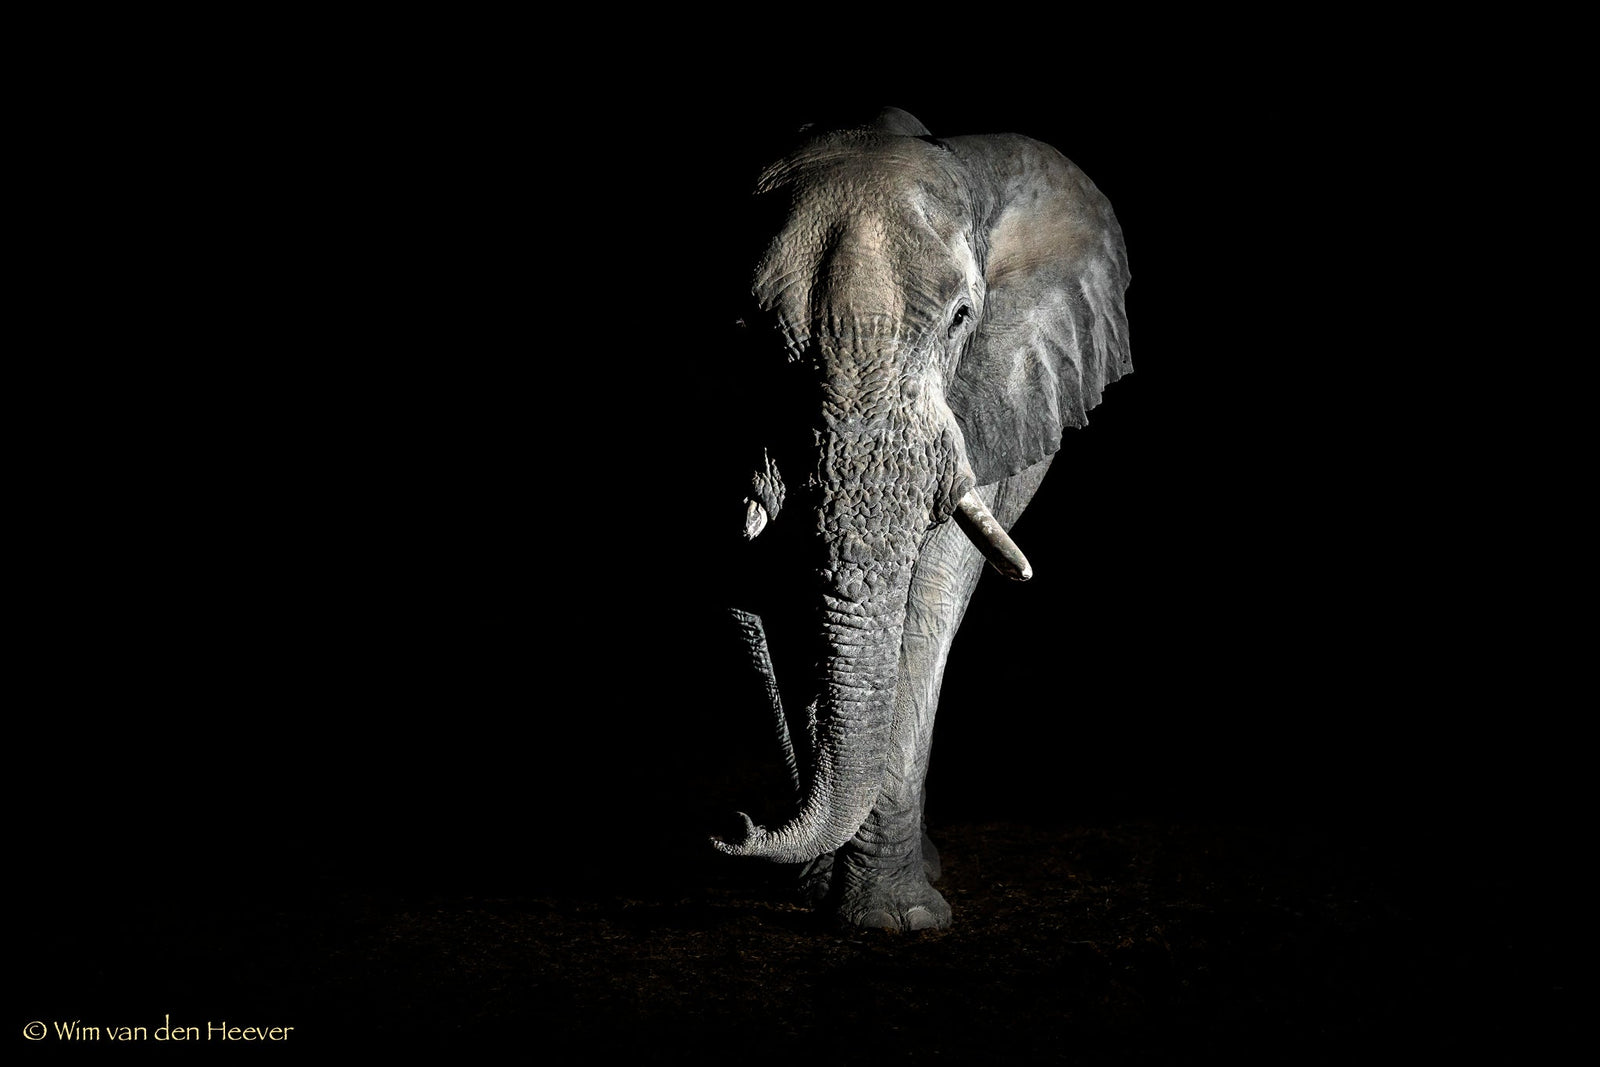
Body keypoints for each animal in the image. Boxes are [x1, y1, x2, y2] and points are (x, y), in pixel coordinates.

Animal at [710, 106, 1132, 931]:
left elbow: (931, 590)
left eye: (962, 319)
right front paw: (842, 898)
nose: (736, 826)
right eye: (747, 332)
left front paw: (892, 920)